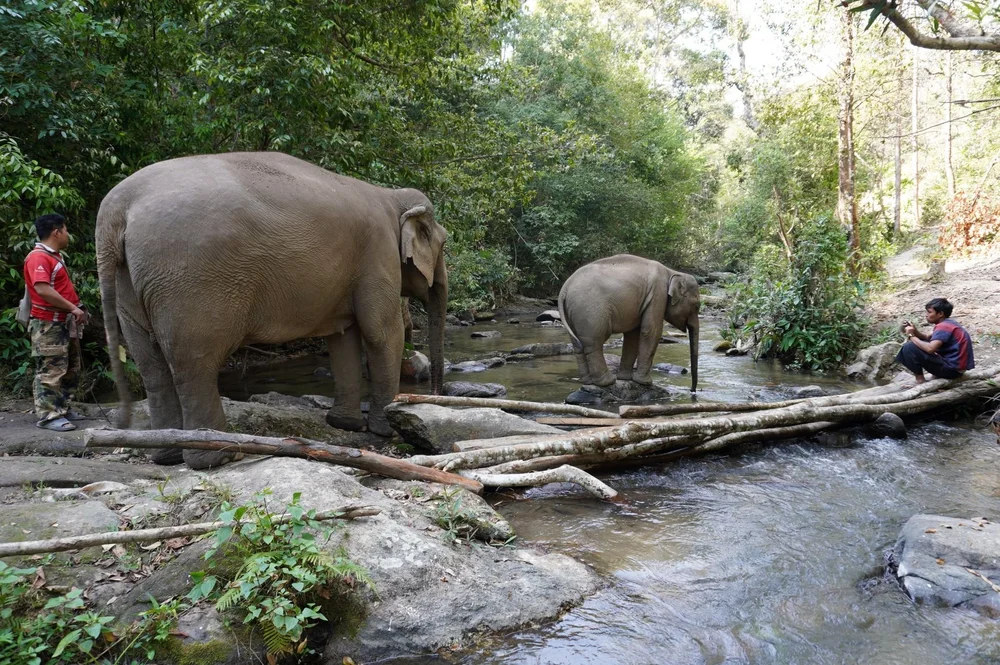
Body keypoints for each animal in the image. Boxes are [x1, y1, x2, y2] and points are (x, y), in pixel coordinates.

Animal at [96, 152, 448, 470]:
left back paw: (166, 456)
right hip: (188, 282)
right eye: (444, 244)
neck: (391, 195)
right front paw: (387, 429)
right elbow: (382, 333)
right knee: (194, 365)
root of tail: (114, 211)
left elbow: (343, 337)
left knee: (151, 366)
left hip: (132, 286)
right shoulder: (378, 253)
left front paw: (346, 425)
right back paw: (220, 456)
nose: (433, 392)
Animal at [557, 254, 700, 391]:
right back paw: (607, 382)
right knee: (594, 343)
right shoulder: (657, 294)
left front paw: (626, 379)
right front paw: (646, 382)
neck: (672, 272)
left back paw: (588, 382)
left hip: (573, 313)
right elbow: (651, 331)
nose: (692, 390)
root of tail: (564, 288)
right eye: (697, 306)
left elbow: (633, 336)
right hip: (590, 311)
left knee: (578, 345)